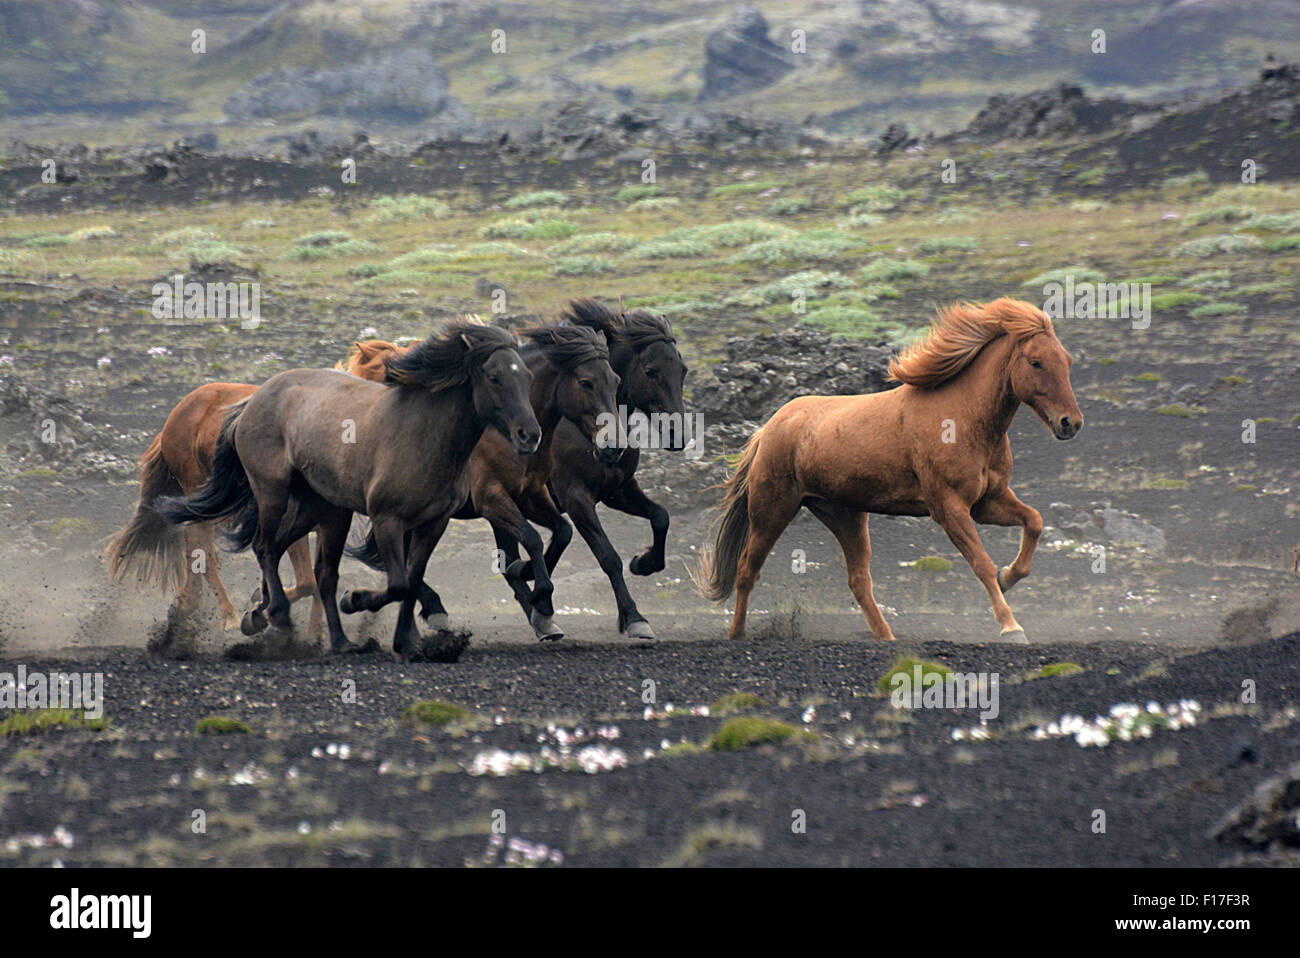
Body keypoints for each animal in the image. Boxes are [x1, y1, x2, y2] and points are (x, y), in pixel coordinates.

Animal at [104, 379, 322, 634]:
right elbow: (307, 581)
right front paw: (259, 611)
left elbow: (317, 582)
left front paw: (316, 634)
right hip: (200, 502)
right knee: (203, 552)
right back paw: (229, 619)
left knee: (194, 548)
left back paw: (184, 606)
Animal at [159, 321, 540, 657]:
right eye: (494, 377)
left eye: (526, 376)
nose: (529, 436)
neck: (423, 435)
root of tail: (253, 400)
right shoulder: (387, 520)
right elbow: (399, 583)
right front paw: (356, 600)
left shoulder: (433, 524)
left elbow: (412, 580)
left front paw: (407, 643)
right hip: (272, 492)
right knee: (265, 546)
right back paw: (278, 615)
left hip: (323, 509)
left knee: (310, 566)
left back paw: (303, 629)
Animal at [696, 298, 1081, 642]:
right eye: (1036, 362)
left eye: (1067, 361)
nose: (1071, 423)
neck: (962, 417)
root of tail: (768, 429)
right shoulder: (950, 508)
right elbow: (982, 563)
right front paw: (1011, 627)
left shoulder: (988, 501)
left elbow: (1034, 521)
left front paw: (1009, 576)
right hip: (771, 511)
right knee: (747, 570)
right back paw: (737, 635)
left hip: (845, 516)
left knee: (858, 581)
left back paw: (887, 637)